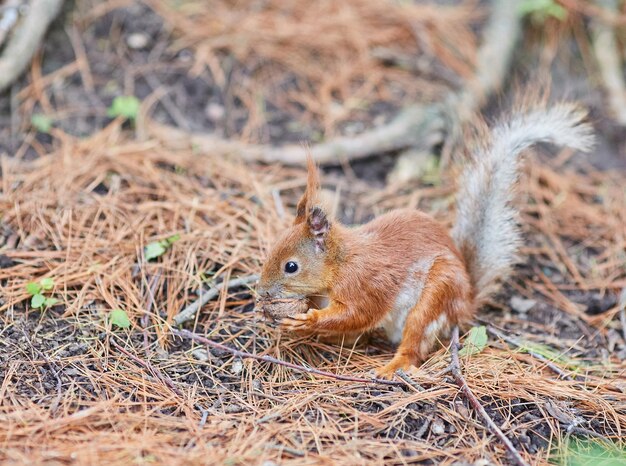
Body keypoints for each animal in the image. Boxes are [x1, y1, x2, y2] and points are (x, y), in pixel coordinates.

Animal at [256, 105, 592, 378]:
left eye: (291, 266)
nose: (261, 291)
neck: (340, 263)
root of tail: (466, 300)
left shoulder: (366, 283)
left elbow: (358, 314)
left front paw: (306, 320)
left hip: (435, 297)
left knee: (415, 344)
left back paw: (394, 366)